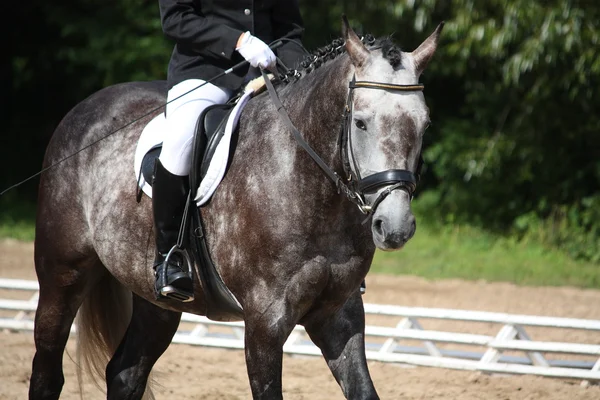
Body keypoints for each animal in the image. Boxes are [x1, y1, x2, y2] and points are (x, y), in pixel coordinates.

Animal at [30, 20, 442, 400]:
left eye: (424, 124)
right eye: (360, 122)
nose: (395, 227)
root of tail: (84, 108)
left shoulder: (340, 315)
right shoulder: (264, 322)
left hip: (155, 299)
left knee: (125, 373)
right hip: (62, 276)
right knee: (47, 370)